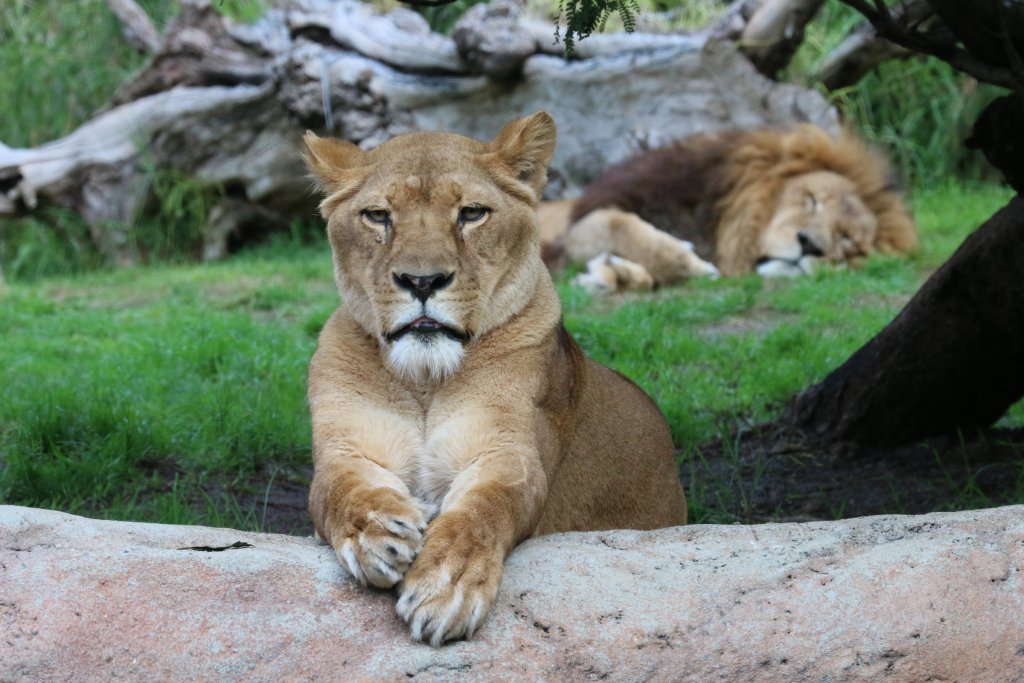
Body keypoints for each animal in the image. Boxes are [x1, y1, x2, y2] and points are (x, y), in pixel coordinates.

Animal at [303, 112, 686, 647]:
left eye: (471, 213)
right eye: (377, 216)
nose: (422, 281)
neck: (426, 380)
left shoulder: (509, 453)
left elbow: (483, 510)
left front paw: (446, 589)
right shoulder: (347, 449)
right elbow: (338, 491)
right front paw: (379, 535)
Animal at [544, 125, 919, 294]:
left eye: (848, 242)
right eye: (811, 199)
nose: (809, 245)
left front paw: (615, 273)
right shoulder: (574, 227)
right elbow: (618, 226)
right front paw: (689, 264)